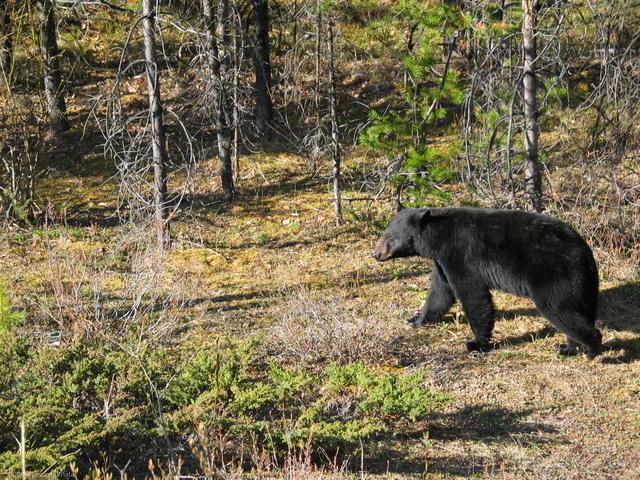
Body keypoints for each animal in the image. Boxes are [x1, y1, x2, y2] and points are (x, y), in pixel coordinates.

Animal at [373, 207, 602, 359]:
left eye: (389, 237)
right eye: (384, 234)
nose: (376, 254)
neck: (438, 237)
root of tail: (583, 252)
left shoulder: (459, 255)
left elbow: (472, 295)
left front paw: (477, 343)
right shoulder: (441, 262)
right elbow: (440, 292)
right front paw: (416, 320)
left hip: (554, 275)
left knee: (559, 309)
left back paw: (591, 348)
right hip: (584, 284)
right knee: (580, 310)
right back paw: (568, 348)